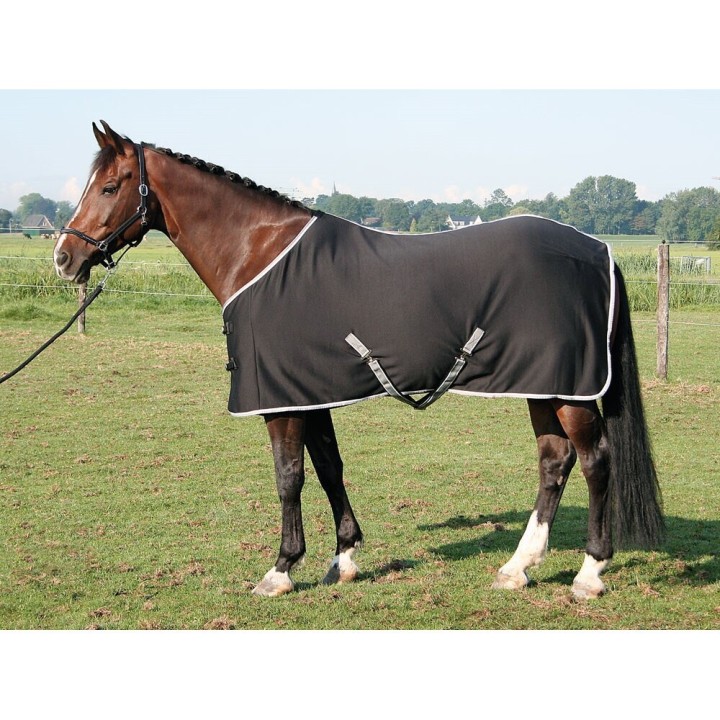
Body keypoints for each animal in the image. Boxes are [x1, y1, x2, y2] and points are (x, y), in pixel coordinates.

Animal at [53, 121, 664, 600]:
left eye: (109, 186)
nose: (64, 257)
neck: (258, 253)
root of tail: (598, 249)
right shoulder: (309, 391)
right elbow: (329, 468)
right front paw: (343, 558)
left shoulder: (282, 401)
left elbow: (289, 477)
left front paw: (281, 570)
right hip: (541, 385)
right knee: (554, 462)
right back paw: (518, 567)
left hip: (569, 389)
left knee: (595, 462)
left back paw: (589, 574)